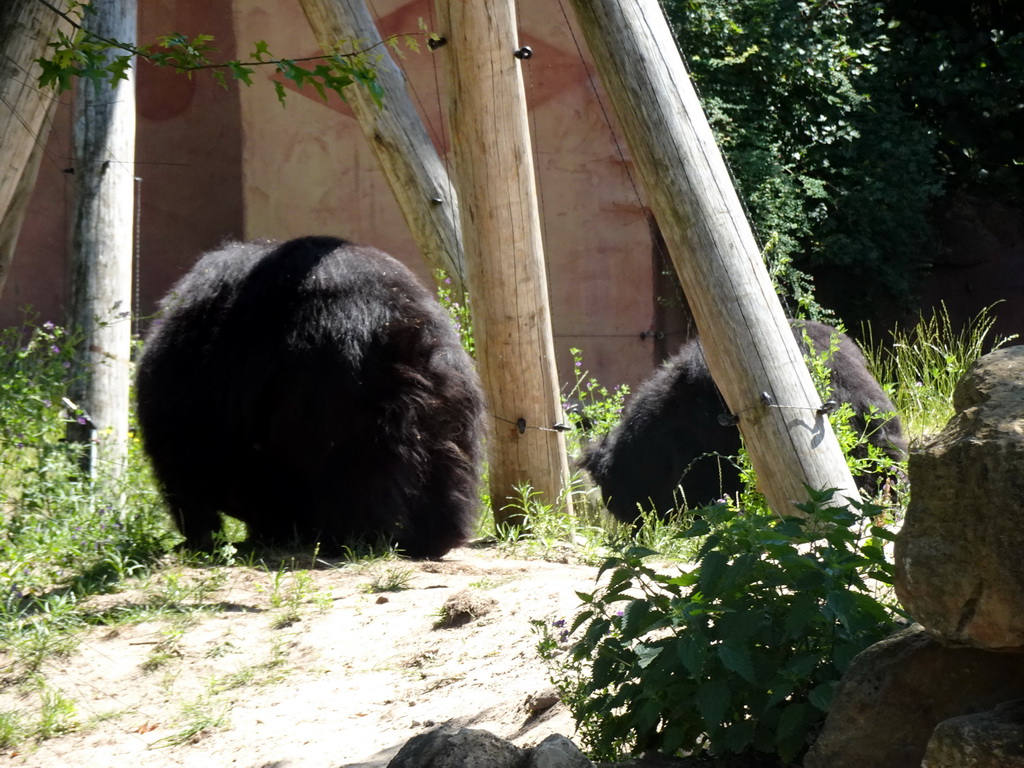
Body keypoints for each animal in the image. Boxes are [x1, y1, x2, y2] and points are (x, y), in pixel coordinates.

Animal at [134, 234, 485, 561]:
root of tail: (406, 331)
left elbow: (182, 460)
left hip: (345, 398)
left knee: (352, 471)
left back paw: (352, 539)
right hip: (450, 394)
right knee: (447, 460)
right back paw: (434, 537)